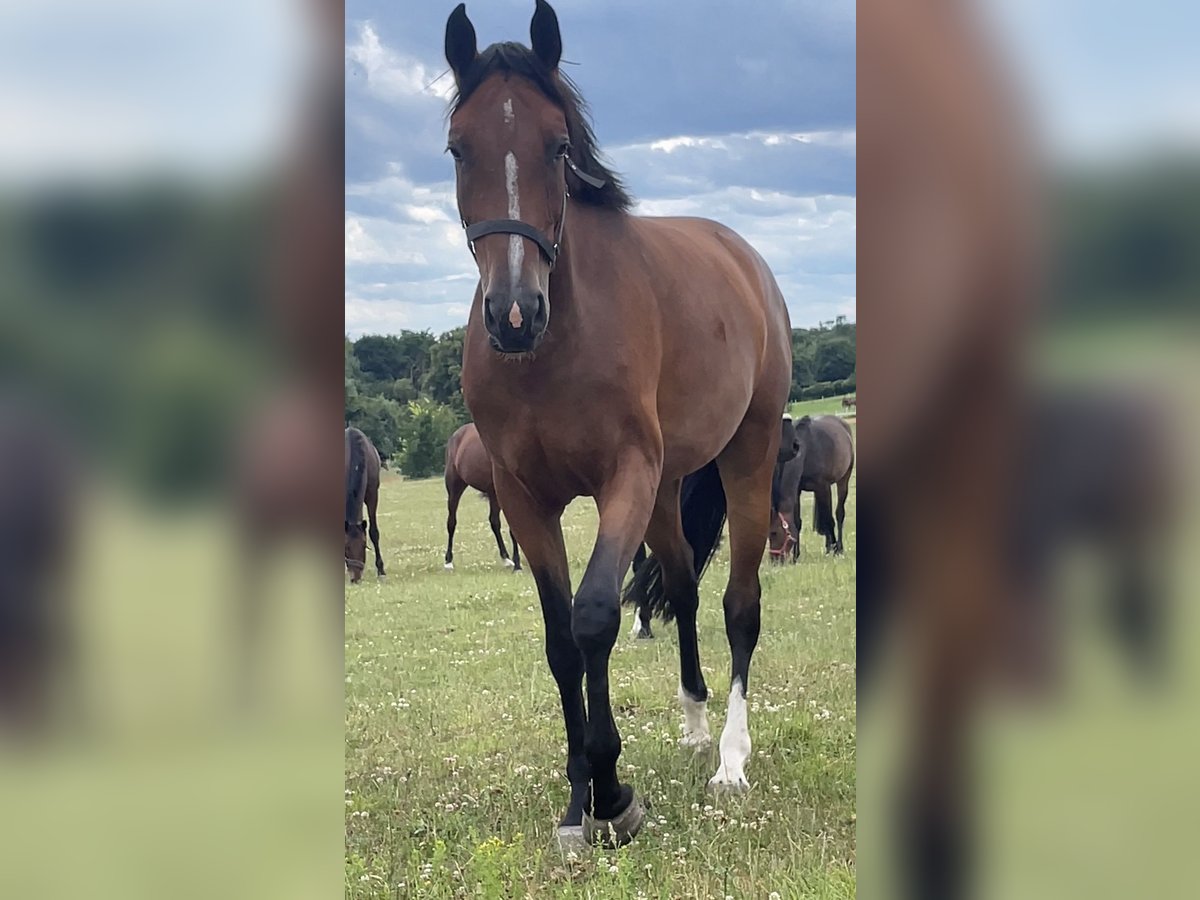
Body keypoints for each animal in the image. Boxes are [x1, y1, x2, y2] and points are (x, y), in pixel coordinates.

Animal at [343, 427, 384, 585]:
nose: (355, 578)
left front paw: (381, 570)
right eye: (346, 547)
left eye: (363, 545)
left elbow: (374, 532)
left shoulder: (373, 495)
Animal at [441, 422, 516, 571]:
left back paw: (506, 559)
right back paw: (448, 562)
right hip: (455, 489)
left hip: (493, 494)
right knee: (451, 522)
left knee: (494, 522)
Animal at [768, 417, 854, 564]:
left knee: (838, 514)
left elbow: (829, 519)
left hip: (843, 479)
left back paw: (838, 547)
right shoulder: (798, 490)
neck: (807, 450)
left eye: (774, 533)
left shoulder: (823, 487)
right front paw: (796, 556)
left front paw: (834, 550)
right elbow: (797, 522)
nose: (774, 561)